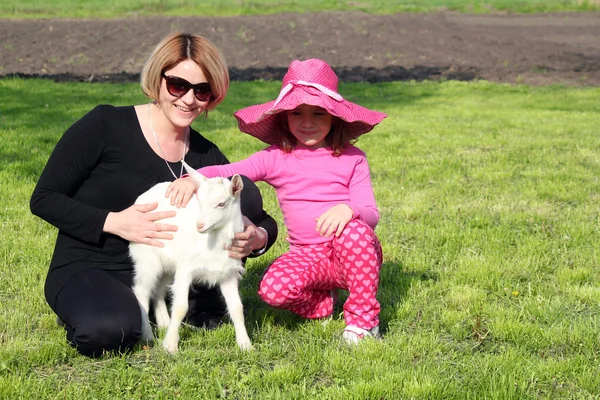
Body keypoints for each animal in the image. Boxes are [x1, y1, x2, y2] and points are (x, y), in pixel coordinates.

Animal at [130, 161, 252, 352]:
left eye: (222, 204)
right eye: (199, 201)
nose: (200, 225)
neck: (213, 241)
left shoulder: (228, 272)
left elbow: (237, 308)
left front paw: (246, 345)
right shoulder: (186, 268)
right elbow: (181, 307)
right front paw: (171, 346)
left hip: (168, 264)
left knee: (159, 290)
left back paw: (164, 323)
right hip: (147, 256)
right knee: (142, 291)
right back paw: (148, 336)